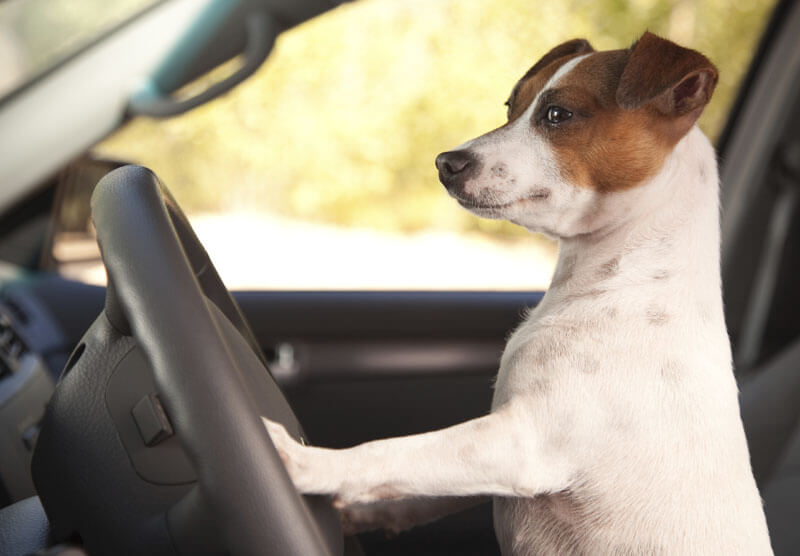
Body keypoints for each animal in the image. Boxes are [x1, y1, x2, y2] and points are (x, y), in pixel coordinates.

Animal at [266, 32, 772, 552]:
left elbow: (391, 453)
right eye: (511, 106)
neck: (619, 279)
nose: (445, 162)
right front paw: (353, 515)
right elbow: (413, 486)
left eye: (557, 114)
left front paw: (303, 462)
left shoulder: (522, 443)